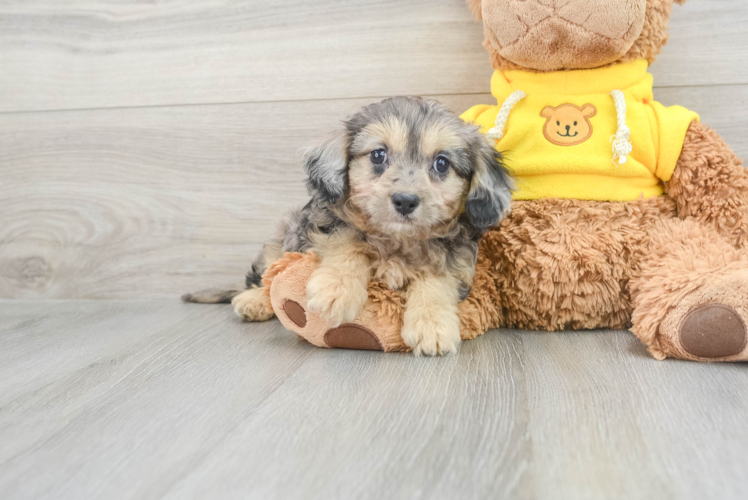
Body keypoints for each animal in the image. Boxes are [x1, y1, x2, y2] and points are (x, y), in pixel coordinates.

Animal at [186, 96, 516, 356]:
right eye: (378, 155)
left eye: (442, 163)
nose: (405, 200)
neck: (398, 239)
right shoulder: (325, 225)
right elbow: (349, 241)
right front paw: (337, 289)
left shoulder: (456, 257)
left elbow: (436, 280)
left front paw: (432, 325)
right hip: (283, 232)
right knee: (266, 276)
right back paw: (254, 301)